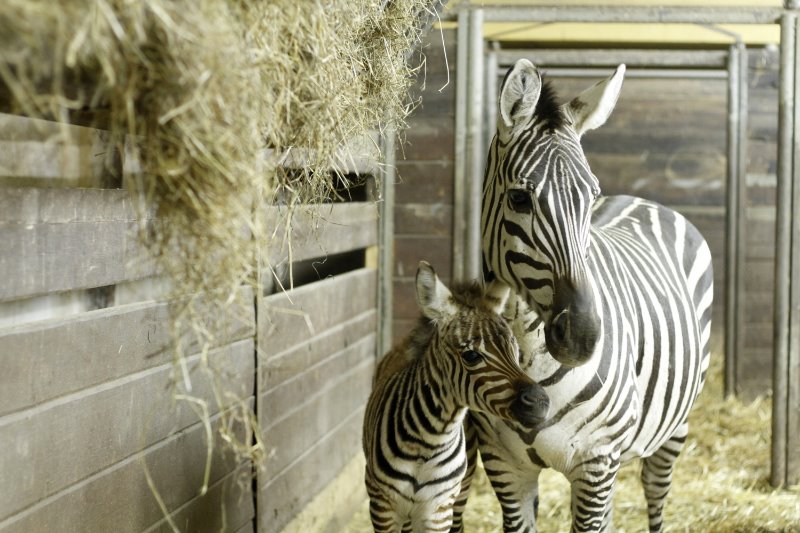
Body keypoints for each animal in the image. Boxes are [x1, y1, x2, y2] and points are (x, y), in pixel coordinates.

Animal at [362, 261, 550, 533]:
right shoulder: (382, 507)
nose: (540, 404)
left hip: (461, 489)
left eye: (516, 352)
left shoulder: (438, 510)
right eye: (471, 356)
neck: (430, 441)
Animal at [460, 60, 714, 533]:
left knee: (656, 491)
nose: (582, 336)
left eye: (590, 196)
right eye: (519, 198)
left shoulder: (596, 461)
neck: (528, 354)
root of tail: (641, 200)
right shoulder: (504, 465)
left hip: (674, 426)